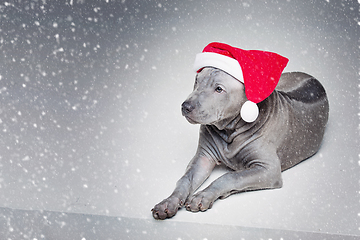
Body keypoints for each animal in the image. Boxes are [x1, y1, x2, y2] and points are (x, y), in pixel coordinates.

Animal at [151, 42, 330, 219]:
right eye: (196, 81)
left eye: (219, 89)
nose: (185, 106)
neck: (230, 129)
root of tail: (310, 76)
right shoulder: (203, 158)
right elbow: (185, 179)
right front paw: (168, 202)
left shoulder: (268, 170)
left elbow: (230, 176)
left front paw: (203, 195)